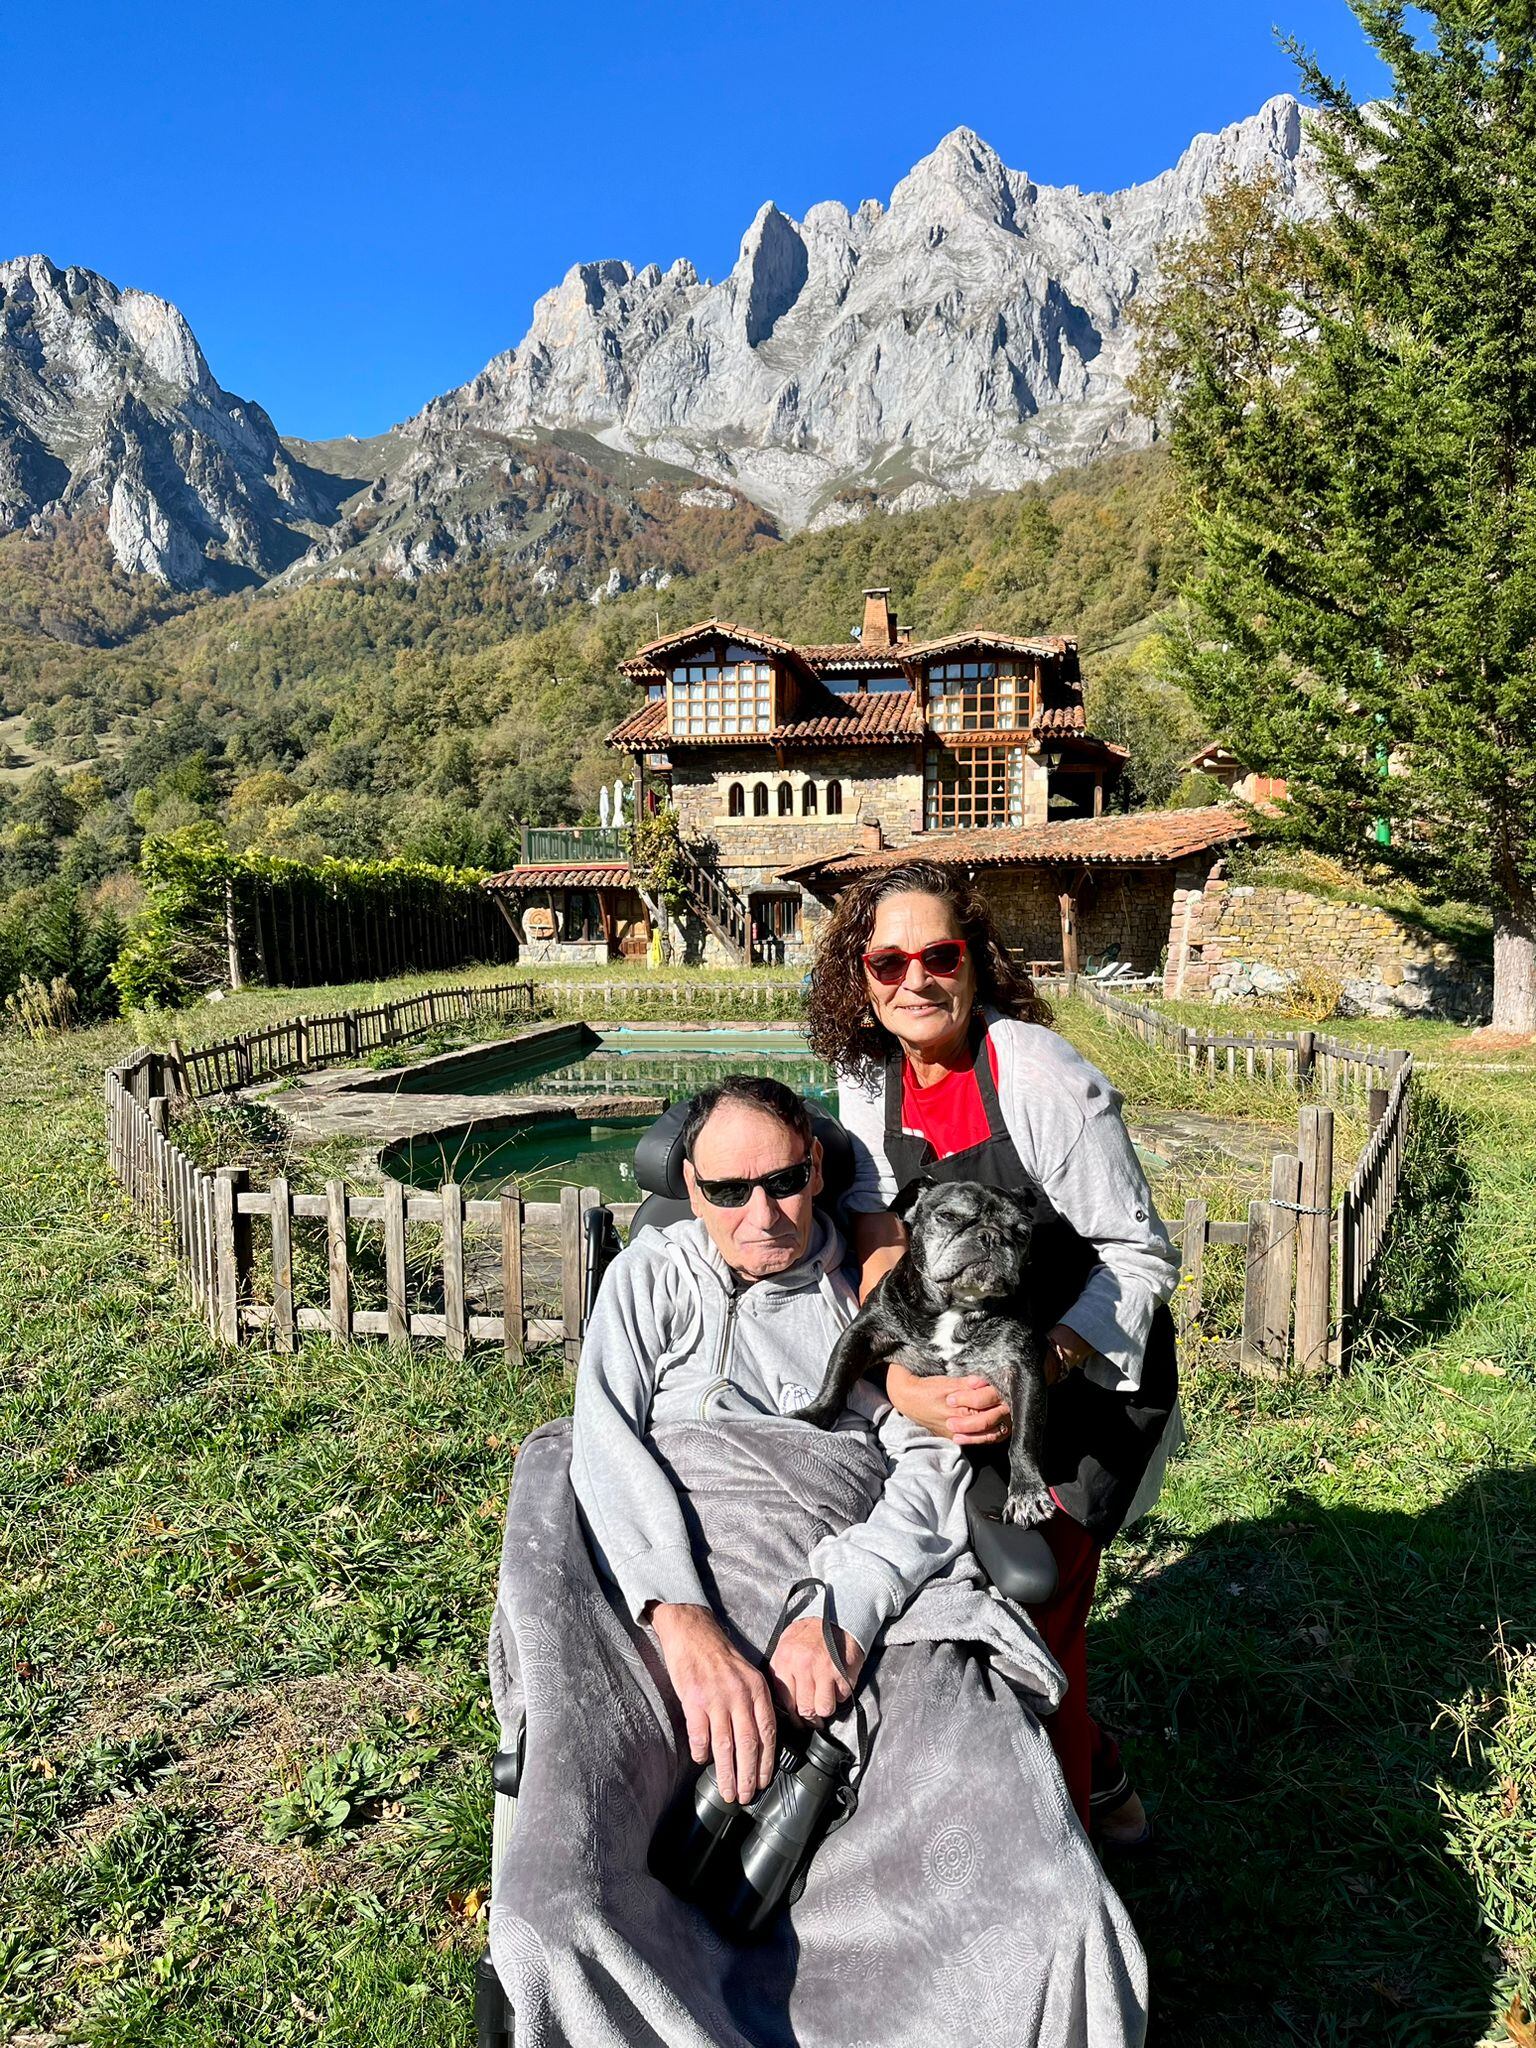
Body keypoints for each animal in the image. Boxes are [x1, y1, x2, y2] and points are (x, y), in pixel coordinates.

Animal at [794, 1179, 1097, 1531]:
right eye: (949, 1216)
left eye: (1022, 1232)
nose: (991, 1236)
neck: (957, 1305)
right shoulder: (864, 1333)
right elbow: (837, 1377)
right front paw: (814, 1415)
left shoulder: (1022, 1369)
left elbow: (1025, 1434)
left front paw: (1026, 1491)